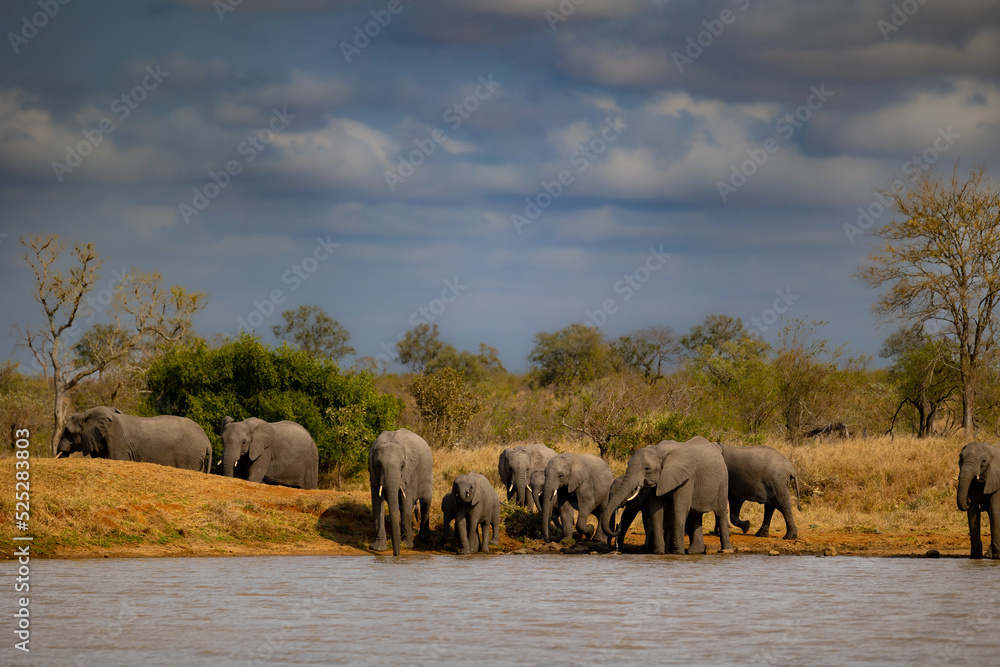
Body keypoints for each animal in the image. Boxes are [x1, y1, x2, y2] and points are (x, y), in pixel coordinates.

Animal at [603, 437, 732, 555]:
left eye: (647, 468)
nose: (617, 526)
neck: (658, 451)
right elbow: (656, 511)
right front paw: (659, 553)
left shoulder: (687, 479)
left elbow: (679, 509)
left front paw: (678, 553)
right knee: (696, 515)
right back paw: (695, 552)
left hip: (723, 481)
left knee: (720, 513)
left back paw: (726, 550)